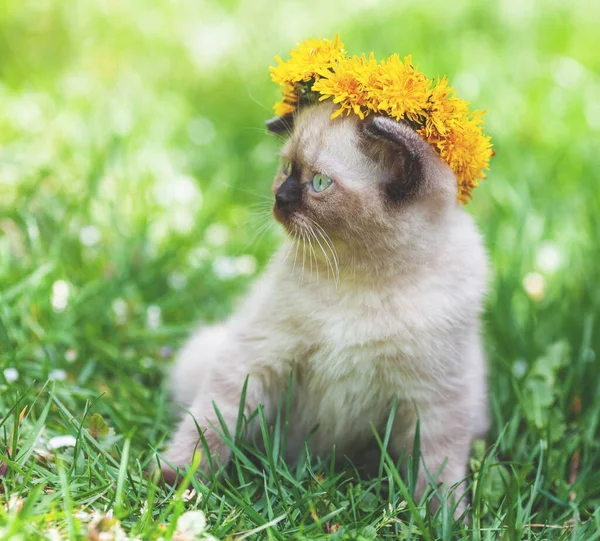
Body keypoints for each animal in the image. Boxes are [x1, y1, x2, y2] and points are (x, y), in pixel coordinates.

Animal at [159, 100, 488, 516]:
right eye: (286, 169)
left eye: (319, 183)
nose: (279, 199)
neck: (362, 277)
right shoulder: (257, 359)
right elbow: (207, 427)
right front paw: (176, 484)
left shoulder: (436, 399)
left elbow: (437, 472)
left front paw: (442, 519)